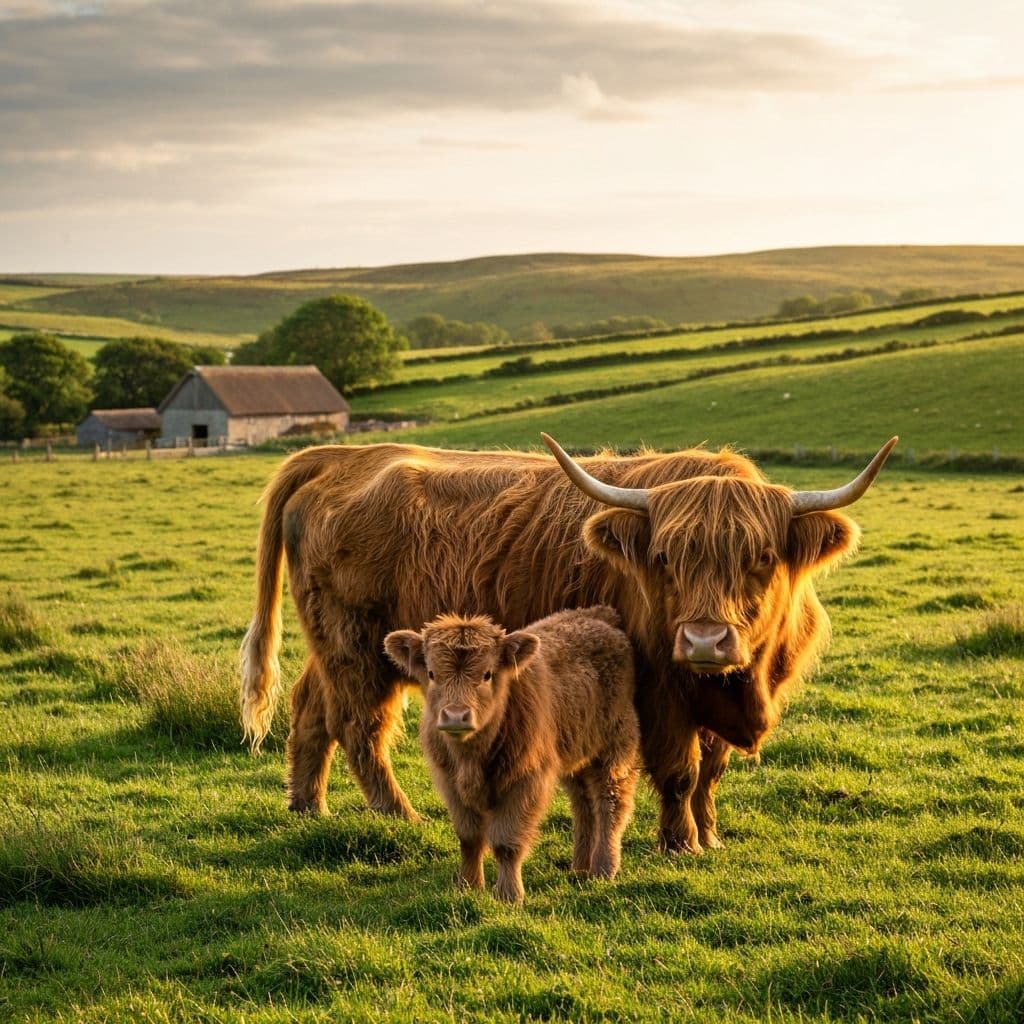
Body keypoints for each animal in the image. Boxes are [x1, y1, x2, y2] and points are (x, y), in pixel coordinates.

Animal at [240, 433, 896, 854]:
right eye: (664, 558)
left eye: (760, 557)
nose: (705, 641)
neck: (737, 685)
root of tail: (338, 456)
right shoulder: (657, 691)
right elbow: (681, 771)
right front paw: (680, 843)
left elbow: (712, 769)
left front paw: (709, 835)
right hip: (356, 644)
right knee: (359, 725)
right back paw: (403, 817)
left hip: (335, 642)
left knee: (311, 709)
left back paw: (307, 806)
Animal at [383, 606, 640, 903]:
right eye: (432, 673)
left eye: (487, 674)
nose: (456, 716)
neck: (470, 759)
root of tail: (597, 614)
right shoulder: (450, 783)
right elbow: (469, 837)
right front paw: (468, 885)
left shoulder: (525, 783)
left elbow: (507, 842)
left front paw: (509, 894)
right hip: (574, 754)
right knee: (583, 805)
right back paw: (579, 867)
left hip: (614, 749)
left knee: (611, 803)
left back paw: (603, 868)